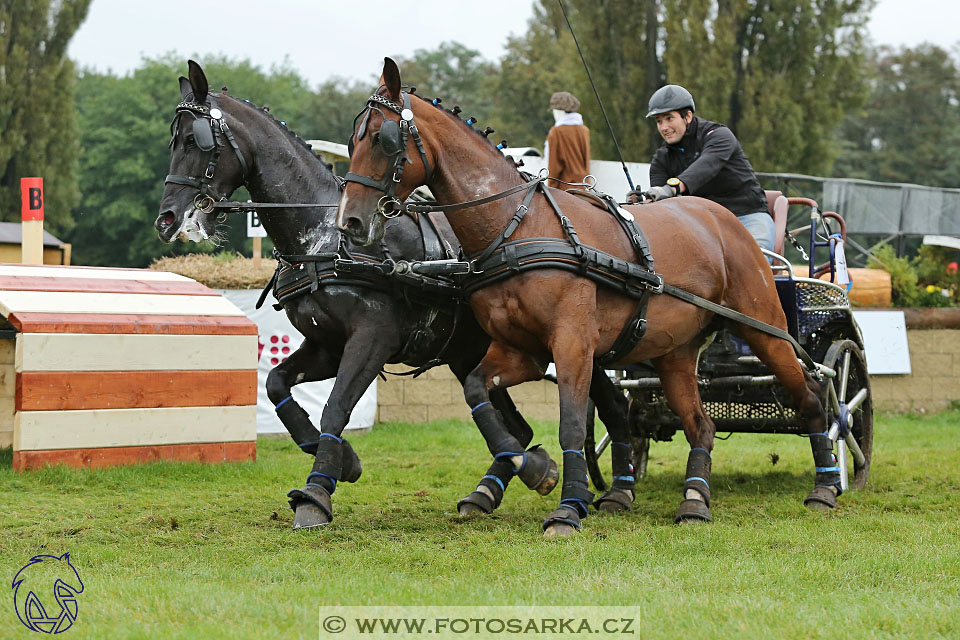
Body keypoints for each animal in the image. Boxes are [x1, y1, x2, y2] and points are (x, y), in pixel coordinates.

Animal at [156, 61, 632, 528]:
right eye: (174, 141)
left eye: (197, 141)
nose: (167, 219)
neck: (324, 237)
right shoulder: (327, 345)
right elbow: (275, 385)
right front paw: (341, 459)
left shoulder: (372, 337)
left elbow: (336, 407)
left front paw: (317, 491)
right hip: (471, 352)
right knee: (521, 426)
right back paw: (497, 487)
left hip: (566, 342)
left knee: (607, 405)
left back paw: (610, 486)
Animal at [334, 57, 836, 536]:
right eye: (352, 140)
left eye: (382, 139)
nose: (350, 222)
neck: (519, 227)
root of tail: (722, 218)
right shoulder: (521, 351)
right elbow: (479, 392)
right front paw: (530, 468)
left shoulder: (573, 344)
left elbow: (572, 423)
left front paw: (568, 506)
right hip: (675, 353)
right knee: (701, 424)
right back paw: (694, 500)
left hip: (764, 329)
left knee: (812, 394)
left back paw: (826, 485)